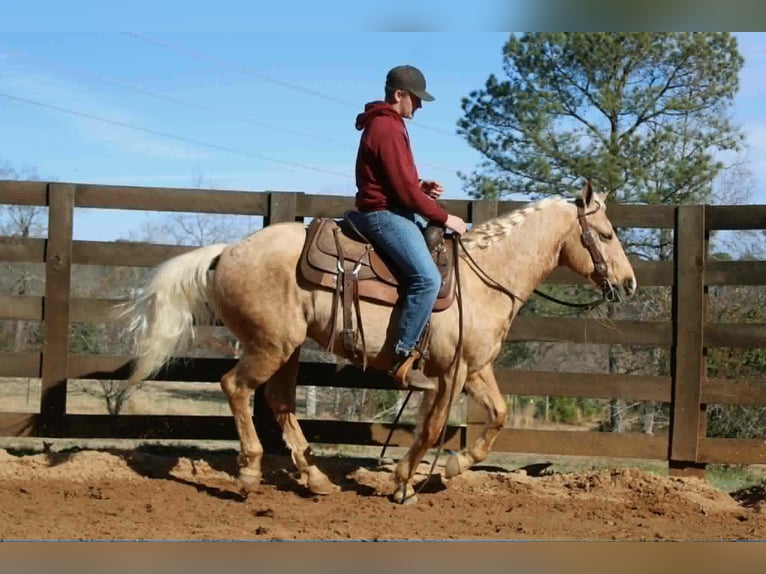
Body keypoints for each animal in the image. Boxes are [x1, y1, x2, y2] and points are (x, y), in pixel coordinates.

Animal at [121, 181, 637, 504]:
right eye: (607, 233)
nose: (629, 283)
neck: (482, 279)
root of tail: (226, 252)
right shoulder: (451, 373)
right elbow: (431, 428)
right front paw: (405, 483)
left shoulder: (474, 368)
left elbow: (498, 416)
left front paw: (452, 467)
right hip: (270, 345)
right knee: (236, 387)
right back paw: (249, 471)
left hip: (287, 349)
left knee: (279, 401)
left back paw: (315, 478)